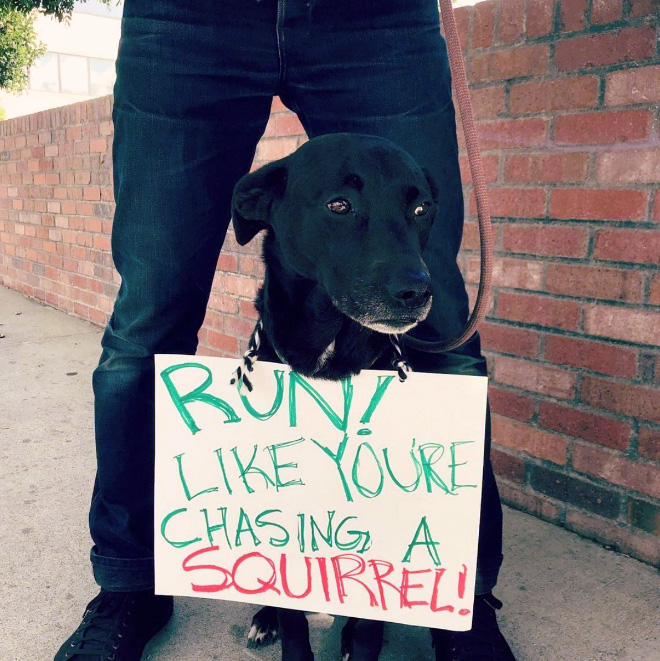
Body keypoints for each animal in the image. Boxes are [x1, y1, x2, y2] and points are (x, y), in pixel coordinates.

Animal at [229, 131, 440, 656]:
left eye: (421, 208)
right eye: (339, 204)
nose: (416, 291)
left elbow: (367, 628)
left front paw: (358, 643)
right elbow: (294, 623)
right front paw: (284, 629)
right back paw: (263, 617)